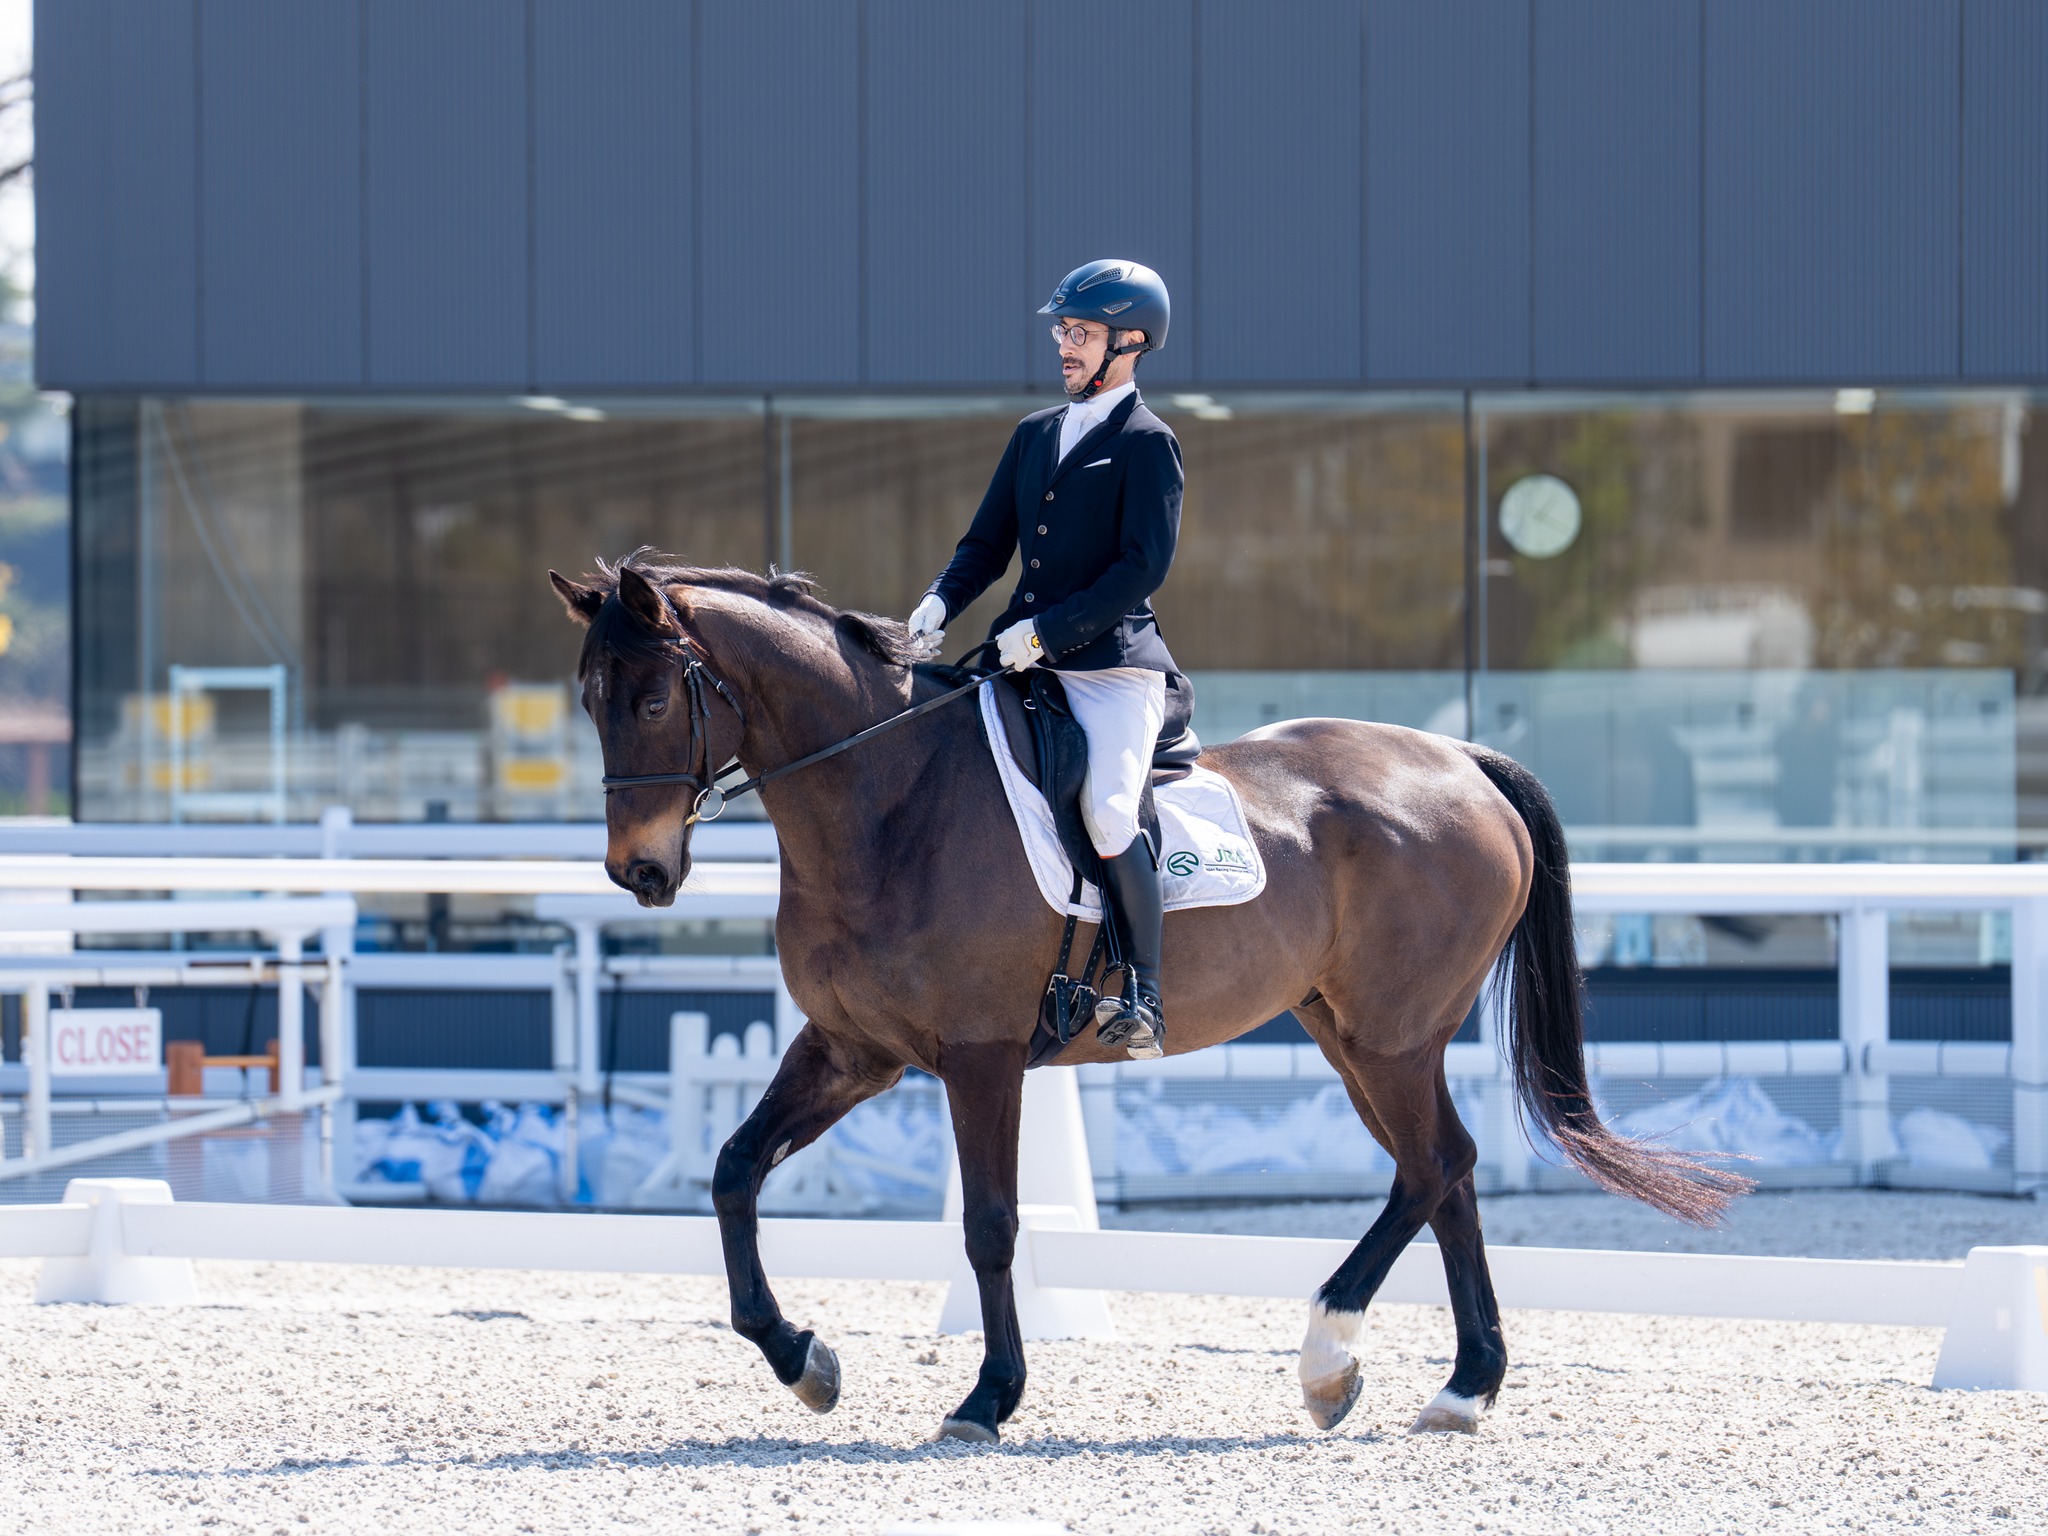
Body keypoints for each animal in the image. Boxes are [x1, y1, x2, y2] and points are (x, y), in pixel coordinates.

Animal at [551, 555, 1745, 1444]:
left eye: (651, 697)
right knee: (1441, 1176)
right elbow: (732, 1171)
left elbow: (992, 1225)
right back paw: (1457, 1387)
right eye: (588, 702)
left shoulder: (980, 1056)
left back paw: (1330, 1360)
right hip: (1348, 1033)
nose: (640, 873)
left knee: (1433, 1167)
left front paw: (988, 1397)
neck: (886, 799)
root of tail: (1458, 760)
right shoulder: (852, 1047)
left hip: (1391, 1036)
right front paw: (803, 1359)